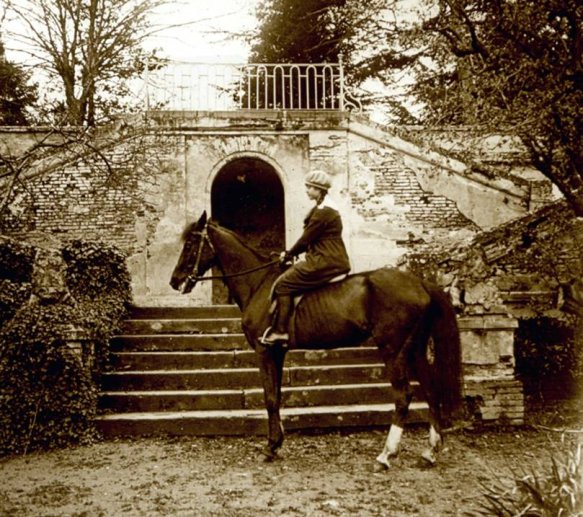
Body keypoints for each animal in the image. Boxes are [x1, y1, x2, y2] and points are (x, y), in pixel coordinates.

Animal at [170, 211, 466, 468]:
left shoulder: (264, 352)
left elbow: (269, 397)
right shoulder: (277, 352)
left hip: (393, 351)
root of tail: (420, 283)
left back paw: (385, 455)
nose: (175, 281)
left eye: (191, 244)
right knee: (431, 390)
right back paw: (429, 452)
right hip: (415, 350)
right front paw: (277, 442)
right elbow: (277, 395)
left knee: (403, 397)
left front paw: (270, 447)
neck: (258, 283)